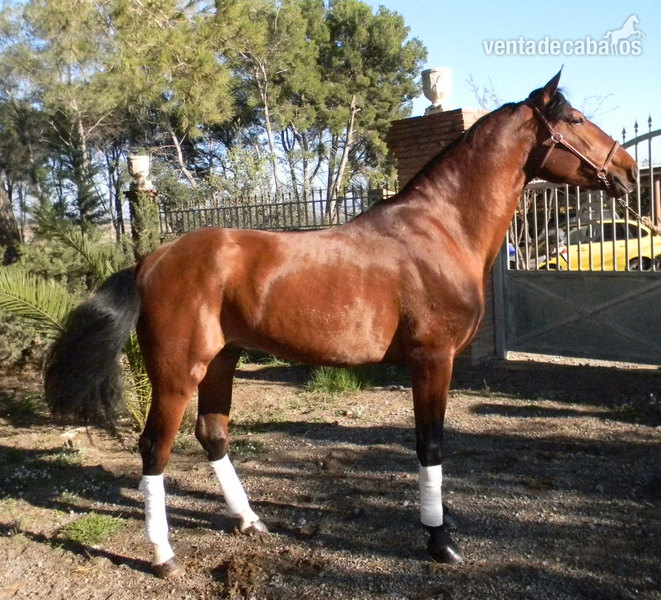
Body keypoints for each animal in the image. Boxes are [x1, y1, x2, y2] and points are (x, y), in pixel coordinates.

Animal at [44, 71, 638, 578]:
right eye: (576, 118)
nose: (629, 171)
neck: (442, 228)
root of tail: (150, 260)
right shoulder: (432, 359)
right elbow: (430, 446)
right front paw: (439, 541)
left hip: (221, 362)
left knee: (212, 435)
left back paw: (251, 522)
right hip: (176, 374)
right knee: (154, 450)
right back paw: (165, 555)